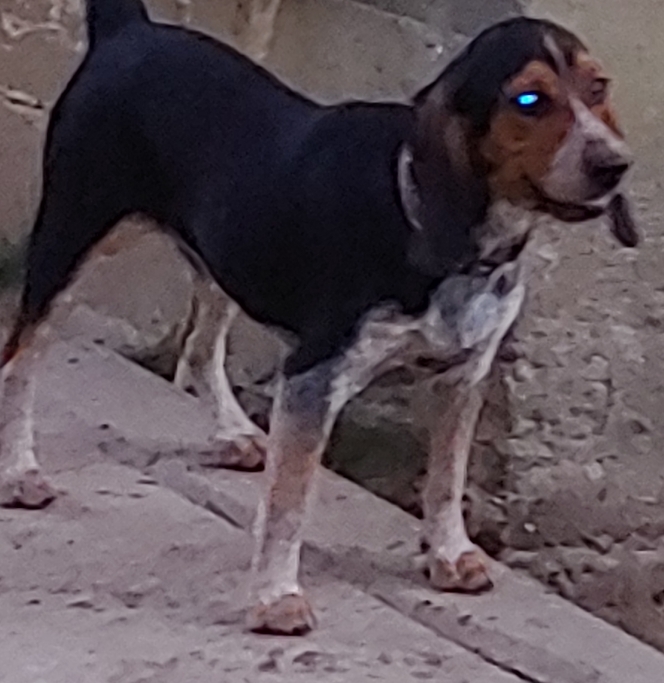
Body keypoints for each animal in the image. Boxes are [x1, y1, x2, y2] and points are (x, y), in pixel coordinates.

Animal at [0, 0, 640, 636]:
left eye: (599, 87)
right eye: (528, 100)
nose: (616, 164)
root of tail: (128, 29)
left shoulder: (465, 374)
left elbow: (446, 480)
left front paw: (450, 554)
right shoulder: (315, 376)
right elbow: (290, 500)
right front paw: (276, 597)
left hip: (228, 251)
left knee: (200, 348)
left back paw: (231, 433)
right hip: (71, 237)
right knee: (21, 360)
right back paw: (19, 473)